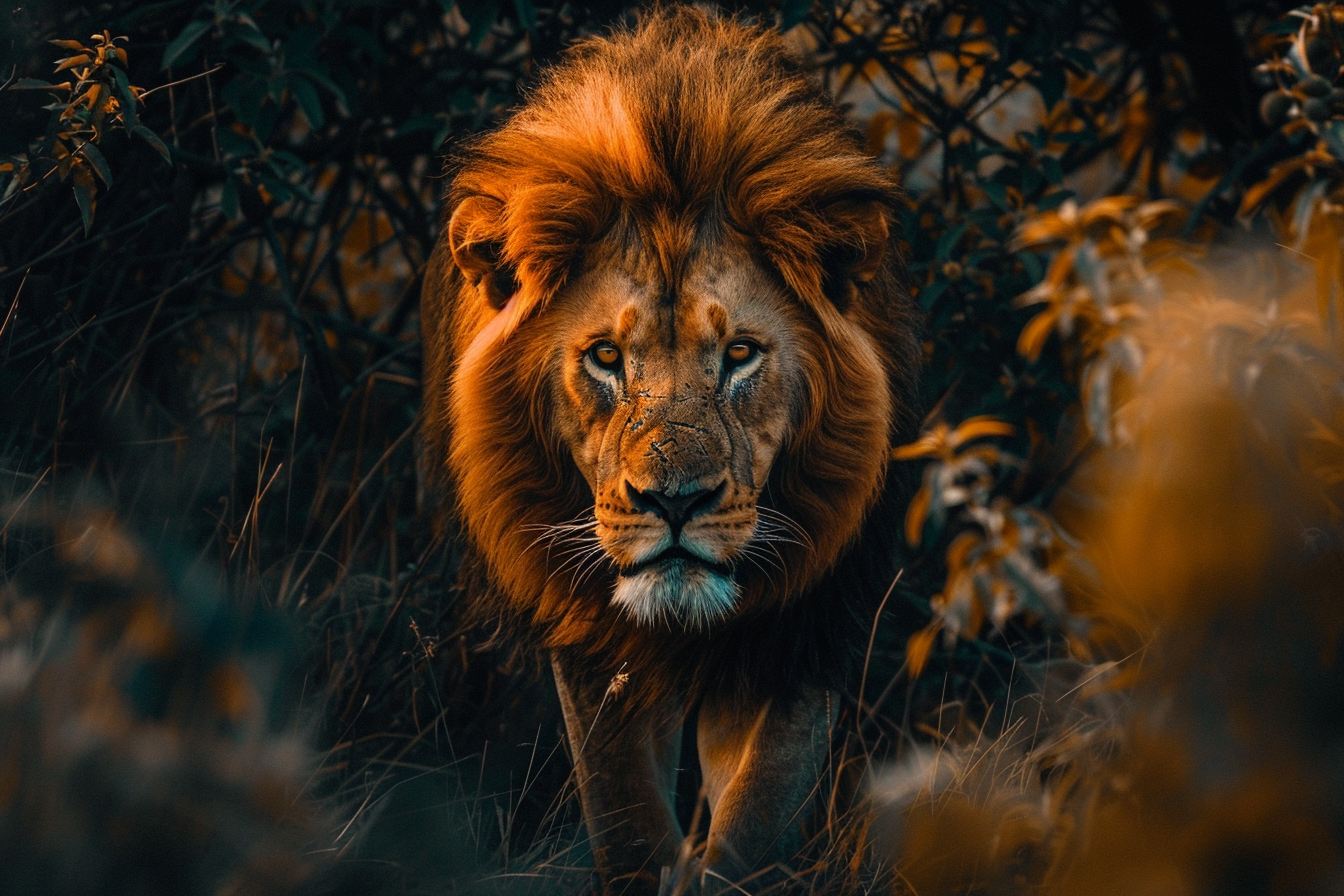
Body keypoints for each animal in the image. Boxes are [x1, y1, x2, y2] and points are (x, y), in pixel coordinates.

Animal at [420, 8, 921, 892]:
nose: (675, 503)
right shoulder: (593, 640)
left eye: (740, 355)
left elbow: (756, 822)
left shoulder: (799, 635)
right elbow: (624, 818)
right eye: (606, 358)